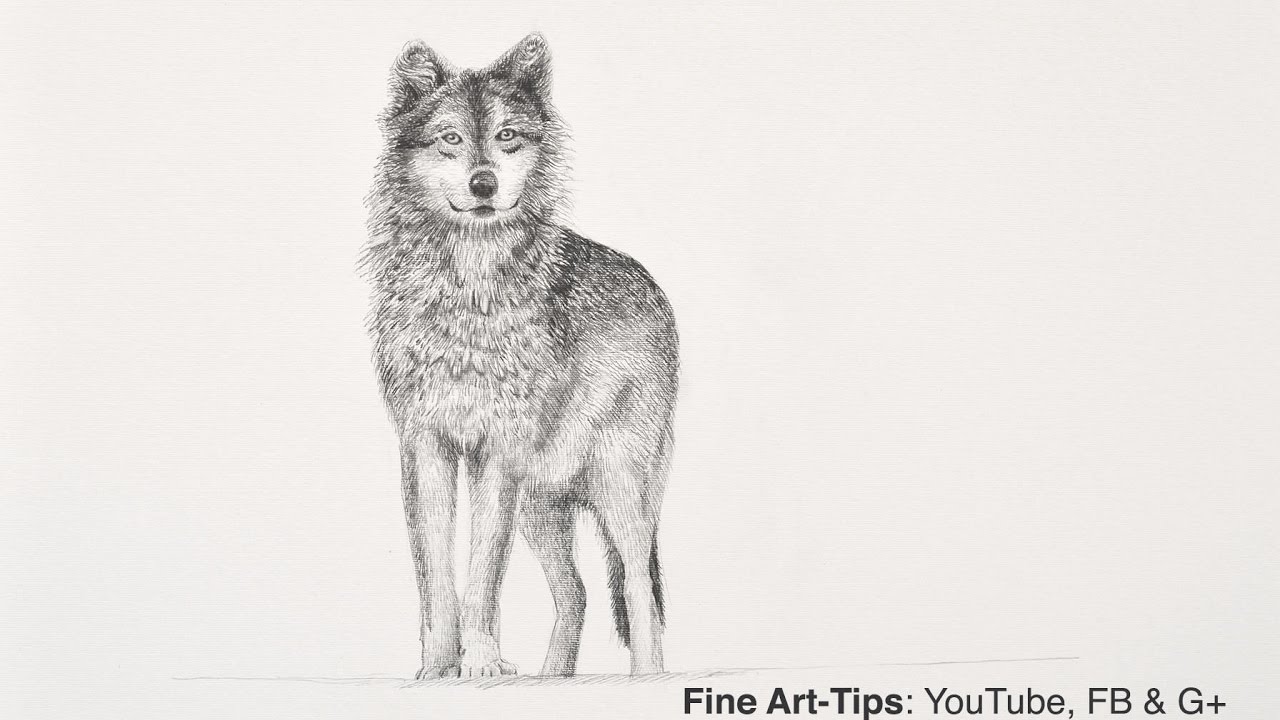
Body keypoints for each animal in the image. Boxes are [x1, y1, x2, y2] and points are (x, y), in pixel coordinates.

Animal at [361, 33, 678, 678]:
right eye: (450, 138)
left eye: (507, 135)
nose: (483, 185)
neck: (468, 290)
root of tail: (654, 289)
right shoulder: (424, 447)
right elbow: (436, 577)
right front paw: (438, 669)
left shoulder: (495, 453)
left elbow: (482, 572)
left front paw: (481, 663)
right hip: (540, 506)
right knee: (577, 592)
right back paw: (553, 677)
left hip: (618, 489)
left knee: (638, 588)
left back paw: (647, 679)